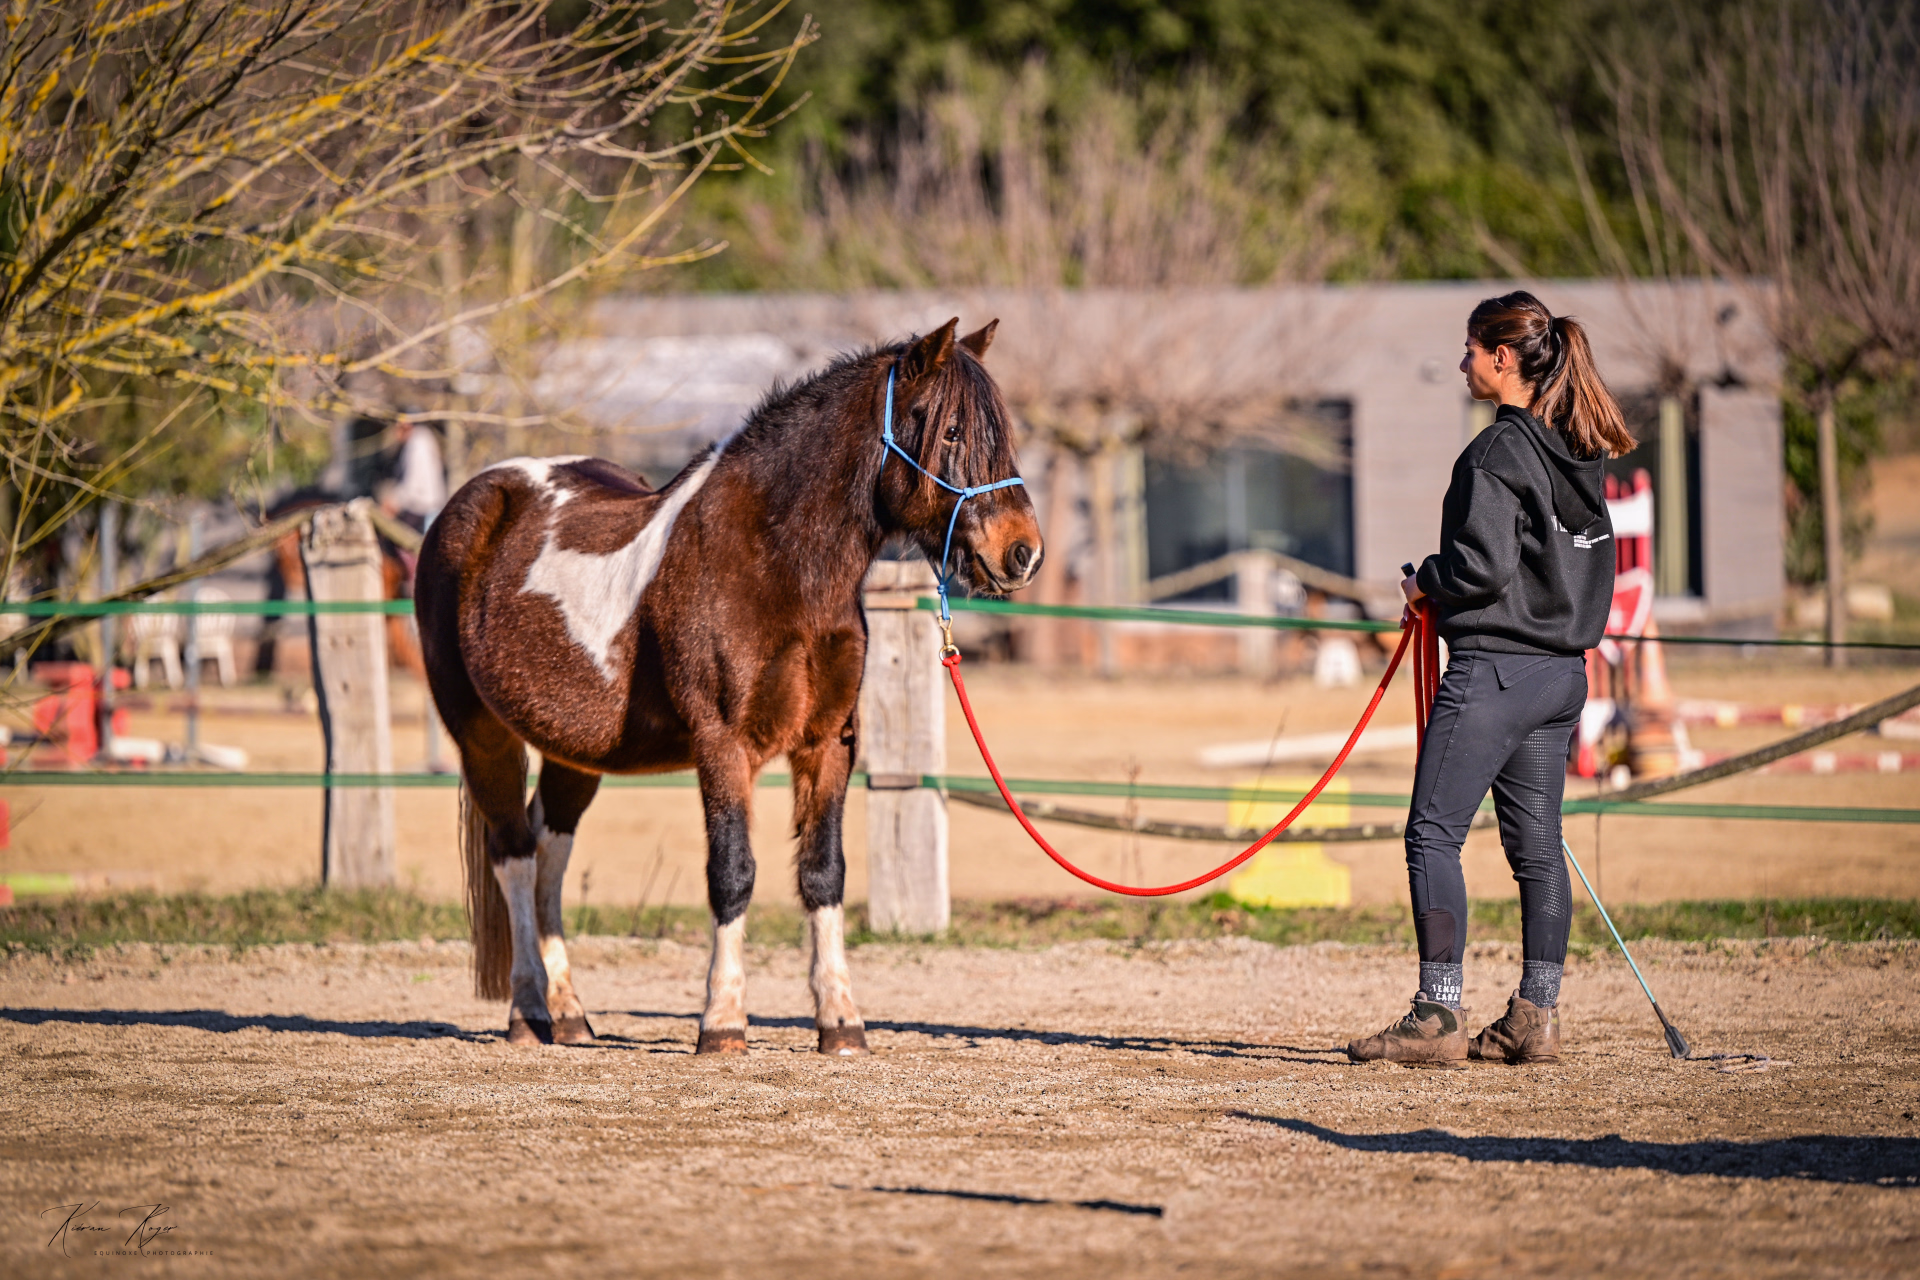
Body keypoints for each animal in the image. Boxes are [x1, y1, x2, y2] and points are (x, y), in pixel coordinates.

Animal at [415, 318, 1042, 1053]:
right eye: (950, 432)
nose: (1023, 553)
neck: (777, 566)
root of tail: (473, 499)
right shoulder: (722, 745)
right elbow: (732, 872)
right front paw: (721, 1020)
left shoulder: (829, 743)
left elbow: (823, 873)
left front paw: (841, 1021)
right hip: (480, 733)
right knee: (513, 854)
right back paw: (529, 1010)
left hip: (577, 750)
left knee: (550, 850)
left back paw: (568, 1014)